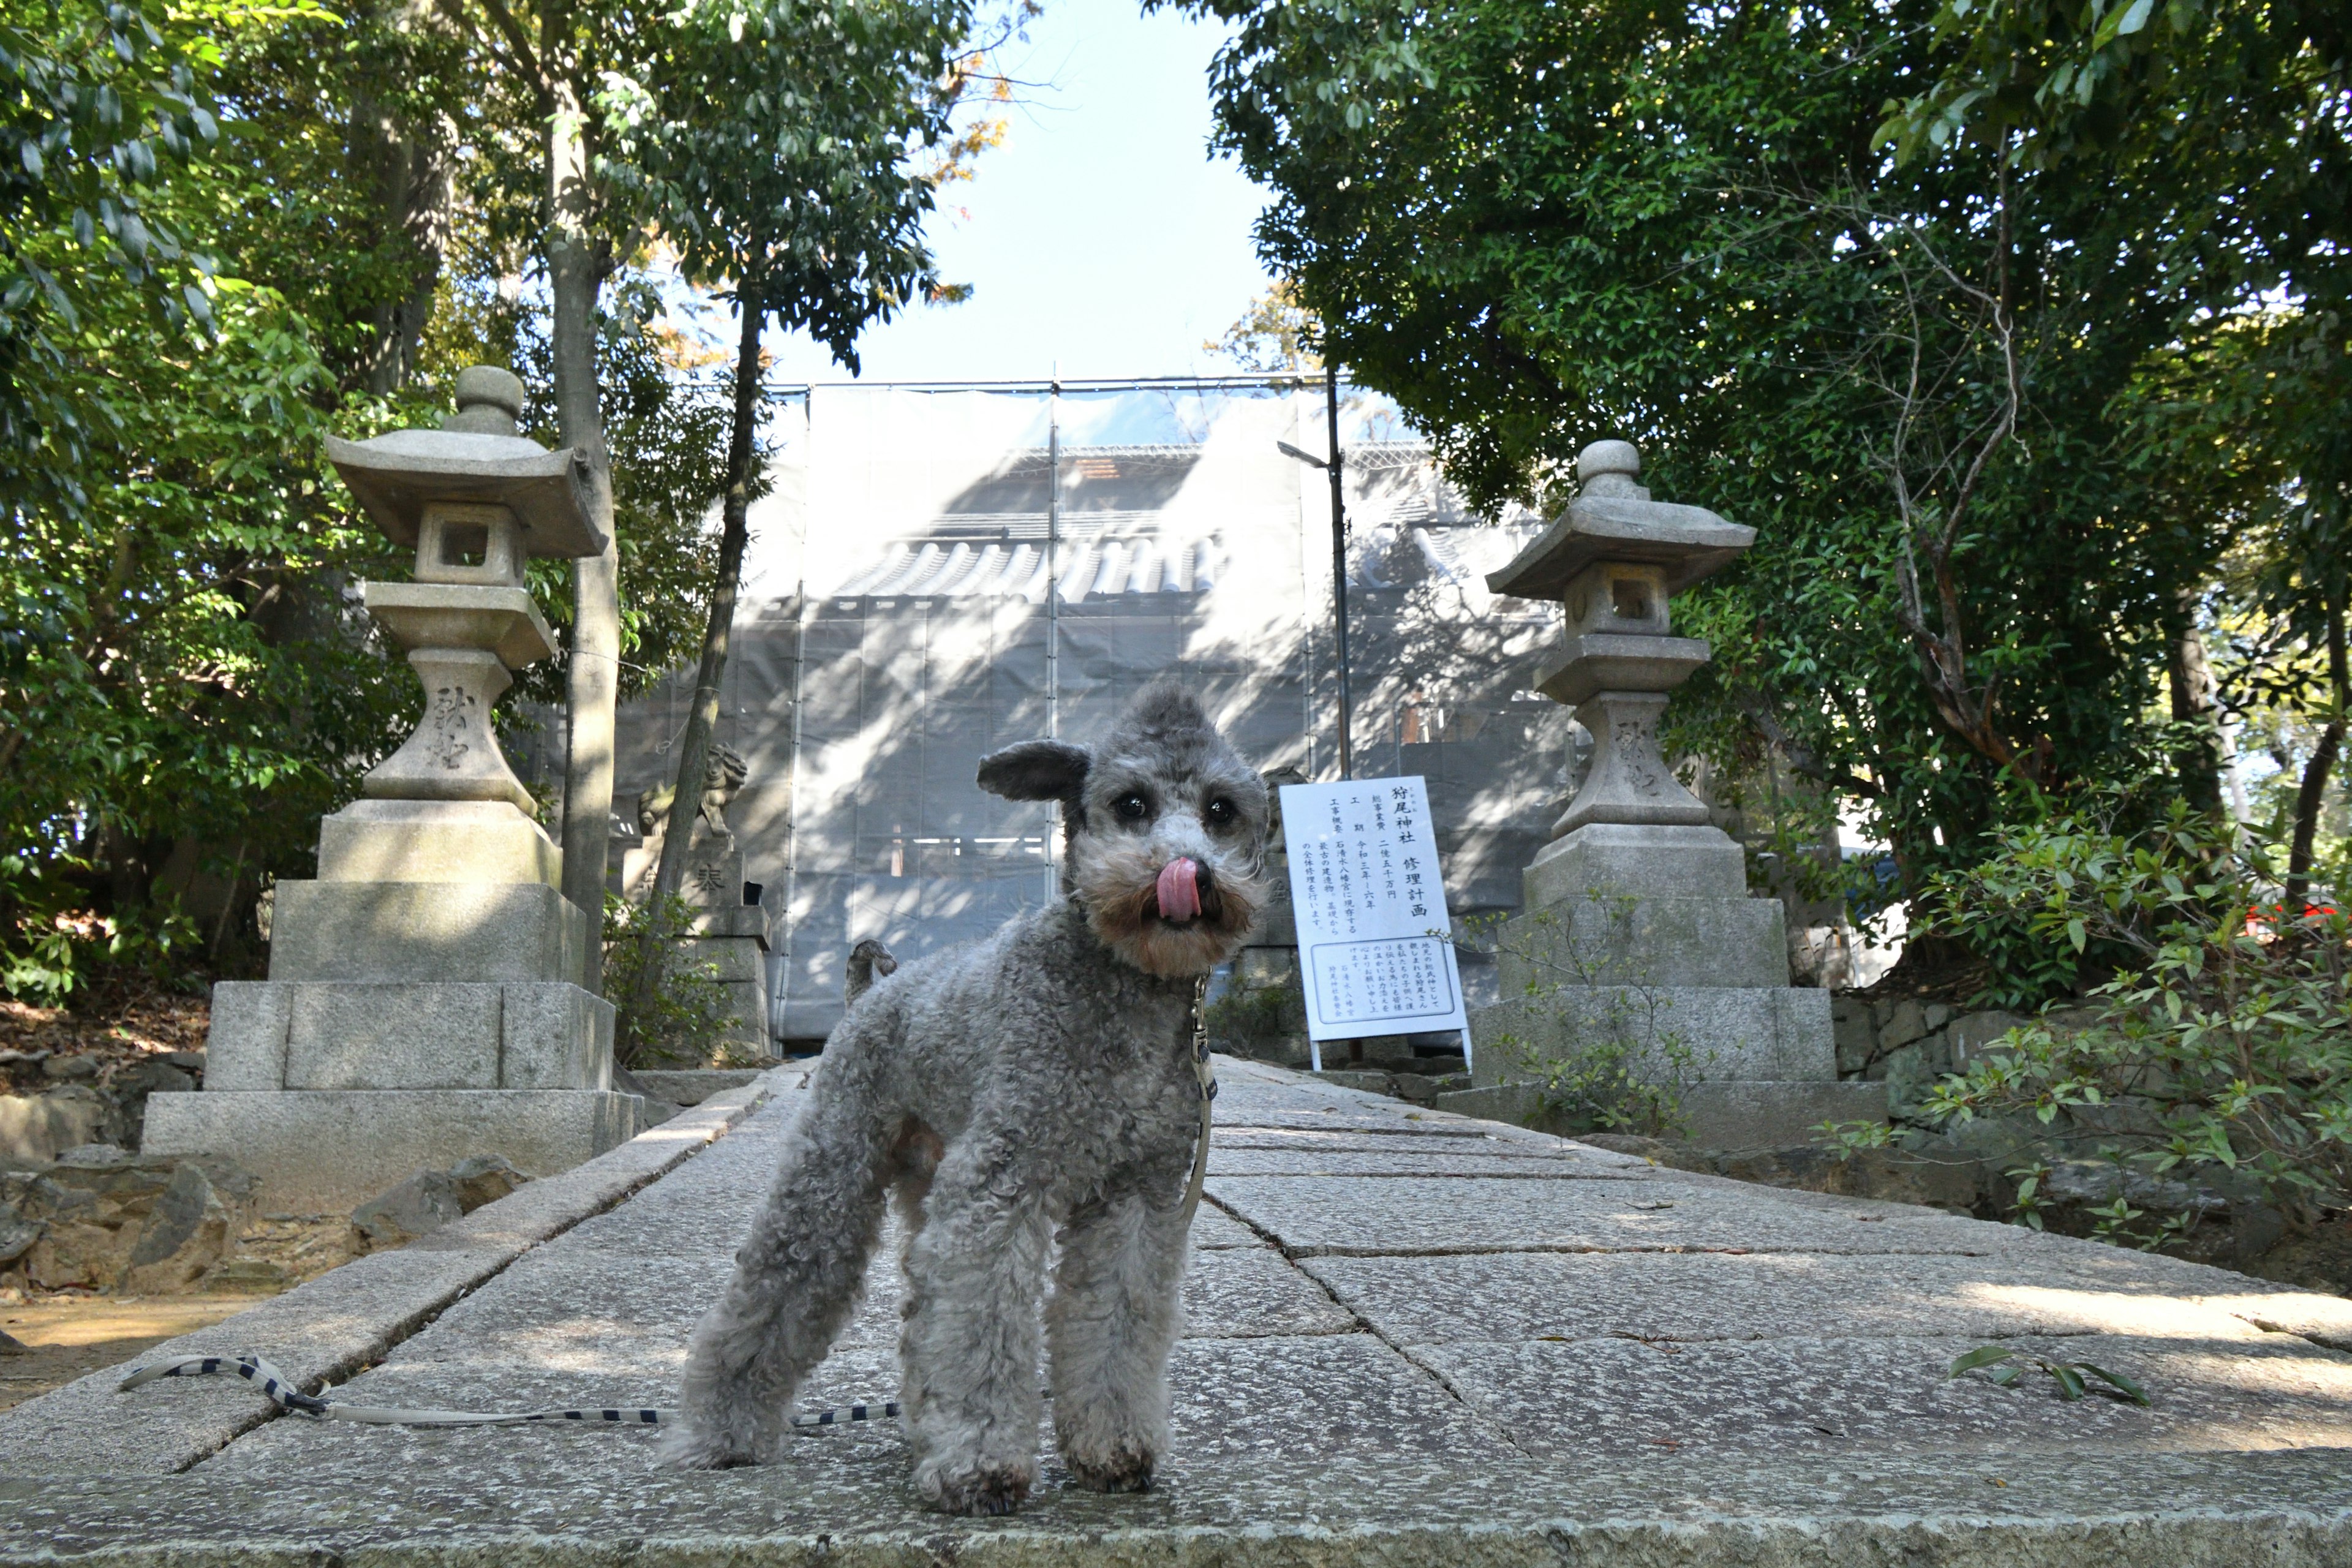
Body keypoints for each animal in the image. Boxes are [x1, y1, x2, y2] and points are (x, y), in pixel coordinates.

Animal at [663, 682, 1279, 1513]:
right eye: (1131, 803)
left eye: (1221, 811)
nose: (1192, 872)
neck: (1124, 986)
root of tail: (874, 991)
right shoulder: (998, 1187)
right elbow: (983, 1324)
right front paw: (981, 1464)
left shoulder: (1138, 1197)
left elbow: (1115, 1324)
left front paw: (1112, 1448)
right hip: (833, 1169)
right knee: (782, 1282)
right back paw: (723, 1431)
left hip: (928, 1179)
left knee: (921, 1316)